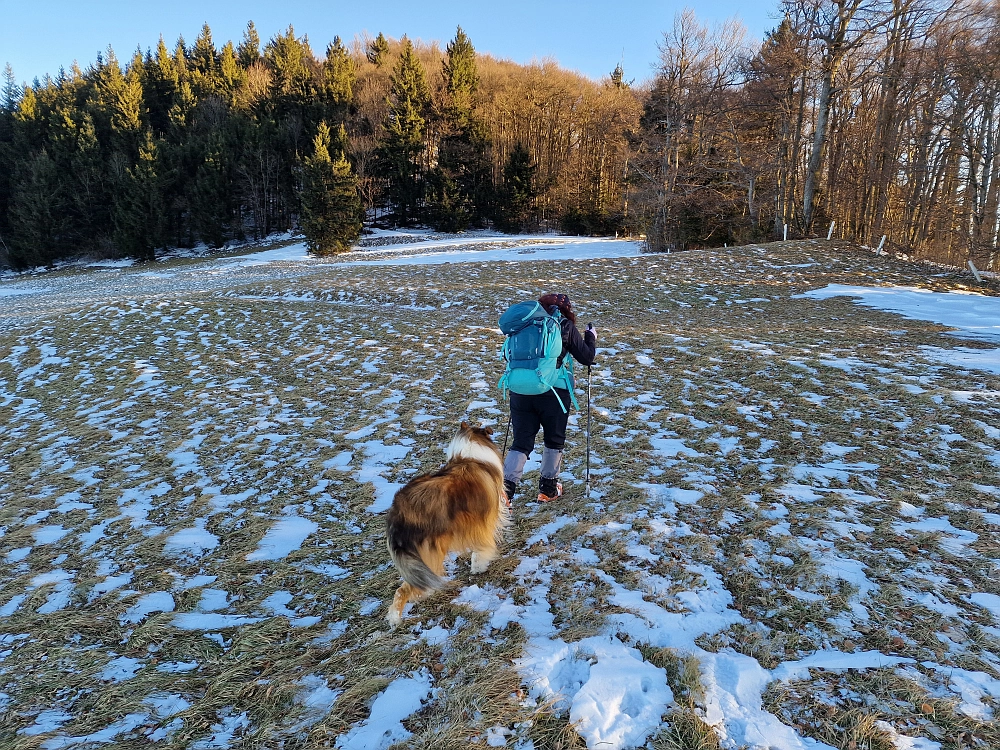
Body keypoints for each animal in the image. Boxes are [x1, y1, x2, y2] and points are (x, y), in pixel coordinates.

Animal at [382, 424, 508, 628]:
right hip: (430, 554)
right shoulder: (483, 521)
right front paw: (479, 566)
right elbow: (481, 547)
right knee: (404, 589)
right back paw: (398, 617)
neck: (470, 456)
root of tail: (397, 513)